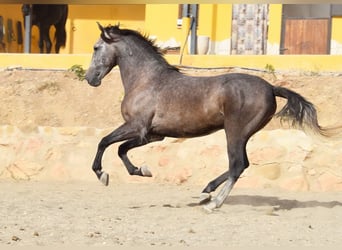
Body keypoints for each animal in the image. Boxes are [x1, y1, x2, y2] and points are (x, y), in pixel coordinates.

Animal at [85, 23, 340, 211]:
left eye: (96, 47)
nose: (90, 79)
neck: (147, 80)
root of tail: (270, 87)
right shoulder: (153, 135)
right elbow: (119, 148)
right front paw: (140, 170)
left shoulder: (137, 127)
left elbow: (107, 143)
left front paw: (104, 174)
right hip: (242, 134)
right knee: (242, 164)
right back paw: (206, 193)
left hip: (234, 131)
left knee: (237, 164)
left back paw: (214, 202)